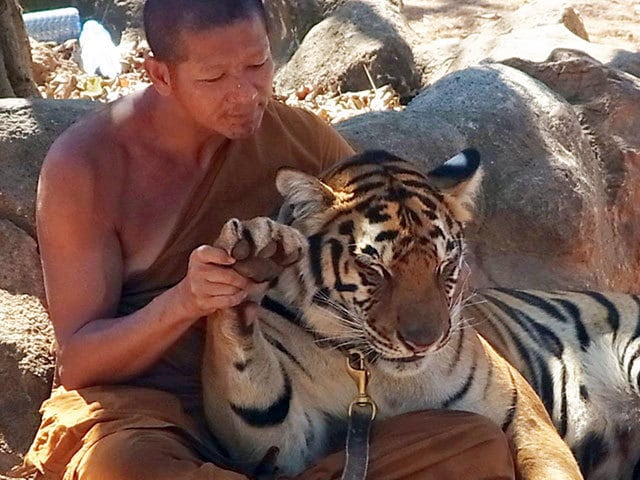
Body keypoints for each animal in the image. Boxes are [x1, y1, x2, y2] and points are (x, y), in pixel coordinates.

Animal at [201, 148, 636, 480]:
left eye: (444, 267)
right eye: (375, 269)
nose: (423, 341)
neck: (380, 377)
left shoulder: (526, 419)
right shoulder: (284, 443)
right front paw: (251, 258)